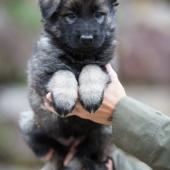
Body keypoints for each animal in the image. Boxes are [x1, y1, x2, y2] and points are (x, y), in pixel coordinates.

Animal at [19, 0, 117, 170]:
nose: (87, 39)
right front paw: (64, 99)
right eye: (71, 16)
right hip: (29, 123)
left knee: (88, 153)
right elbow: (63, 72)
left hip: (106, 128)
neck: (79, 56)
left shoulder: (105, 65)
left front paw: (91, 95)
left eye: (98, 15)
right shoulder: (41, 72)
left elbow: (91, 67)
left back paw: (95, 164)